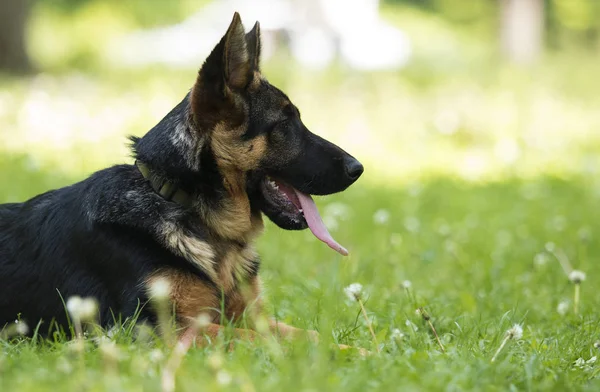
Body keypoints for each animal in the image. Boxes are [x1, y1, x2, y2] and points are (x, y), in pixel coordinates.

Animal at [0, 11, 364, 346]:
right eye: (286, 123)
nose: (358, 168)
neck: (187, 206)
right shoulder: (164, 330)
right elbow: (261, 339)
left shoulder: (253, 317)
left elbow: (310, 336)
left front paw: (360, 352)